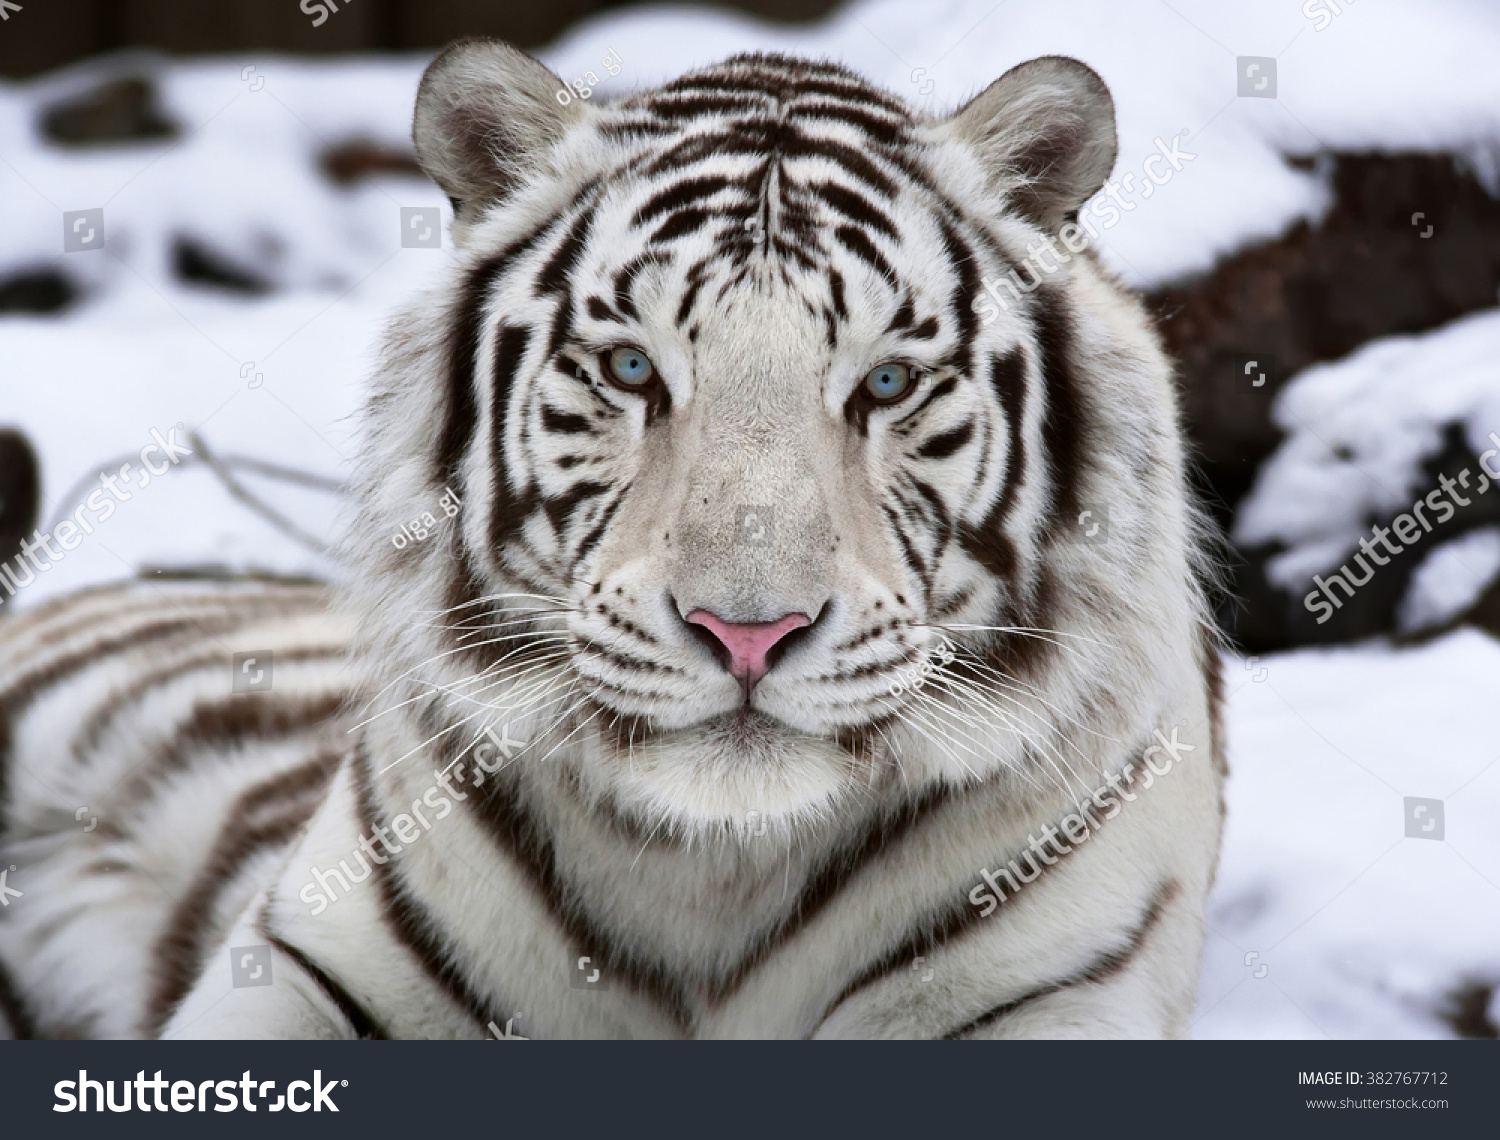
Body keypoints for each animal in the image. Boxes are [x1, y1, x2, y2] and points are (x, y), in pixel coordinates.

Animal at [0, 42, 1224, 1044]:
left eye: (885, 383)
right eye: (633, 368)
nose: (747, 632)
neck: (717, 872)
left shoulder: (1048, 996)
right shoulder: (309, 966)